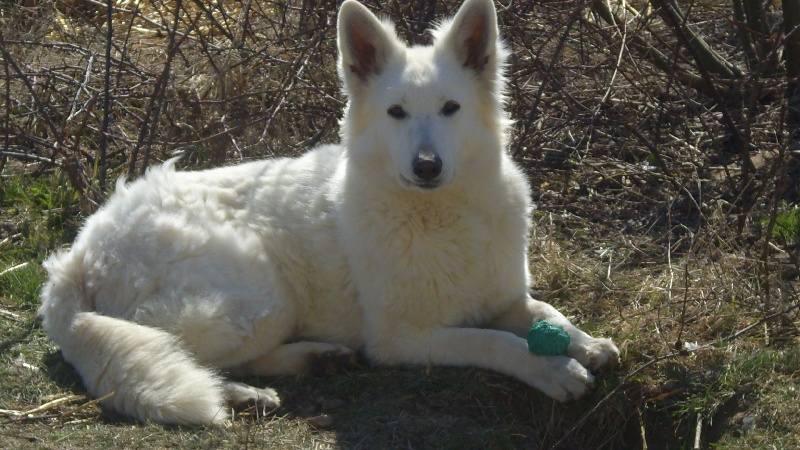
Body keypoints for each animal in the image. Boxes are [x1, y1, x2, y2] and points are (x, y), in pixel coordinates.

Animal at [39, 0, 620, 426]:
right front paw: (551, 368)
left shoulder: (505, 298)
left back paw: (314, 360)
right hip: (262, 295)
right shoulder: (404, 338)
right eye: (396, 113)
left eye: (451, 109)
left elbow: (547, 314)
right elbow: (495, 342)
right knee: (183, 351)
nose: (427, 166)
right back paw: (242, 392)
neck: (441, 214)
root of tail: (78, 254)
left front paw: (587, 344)